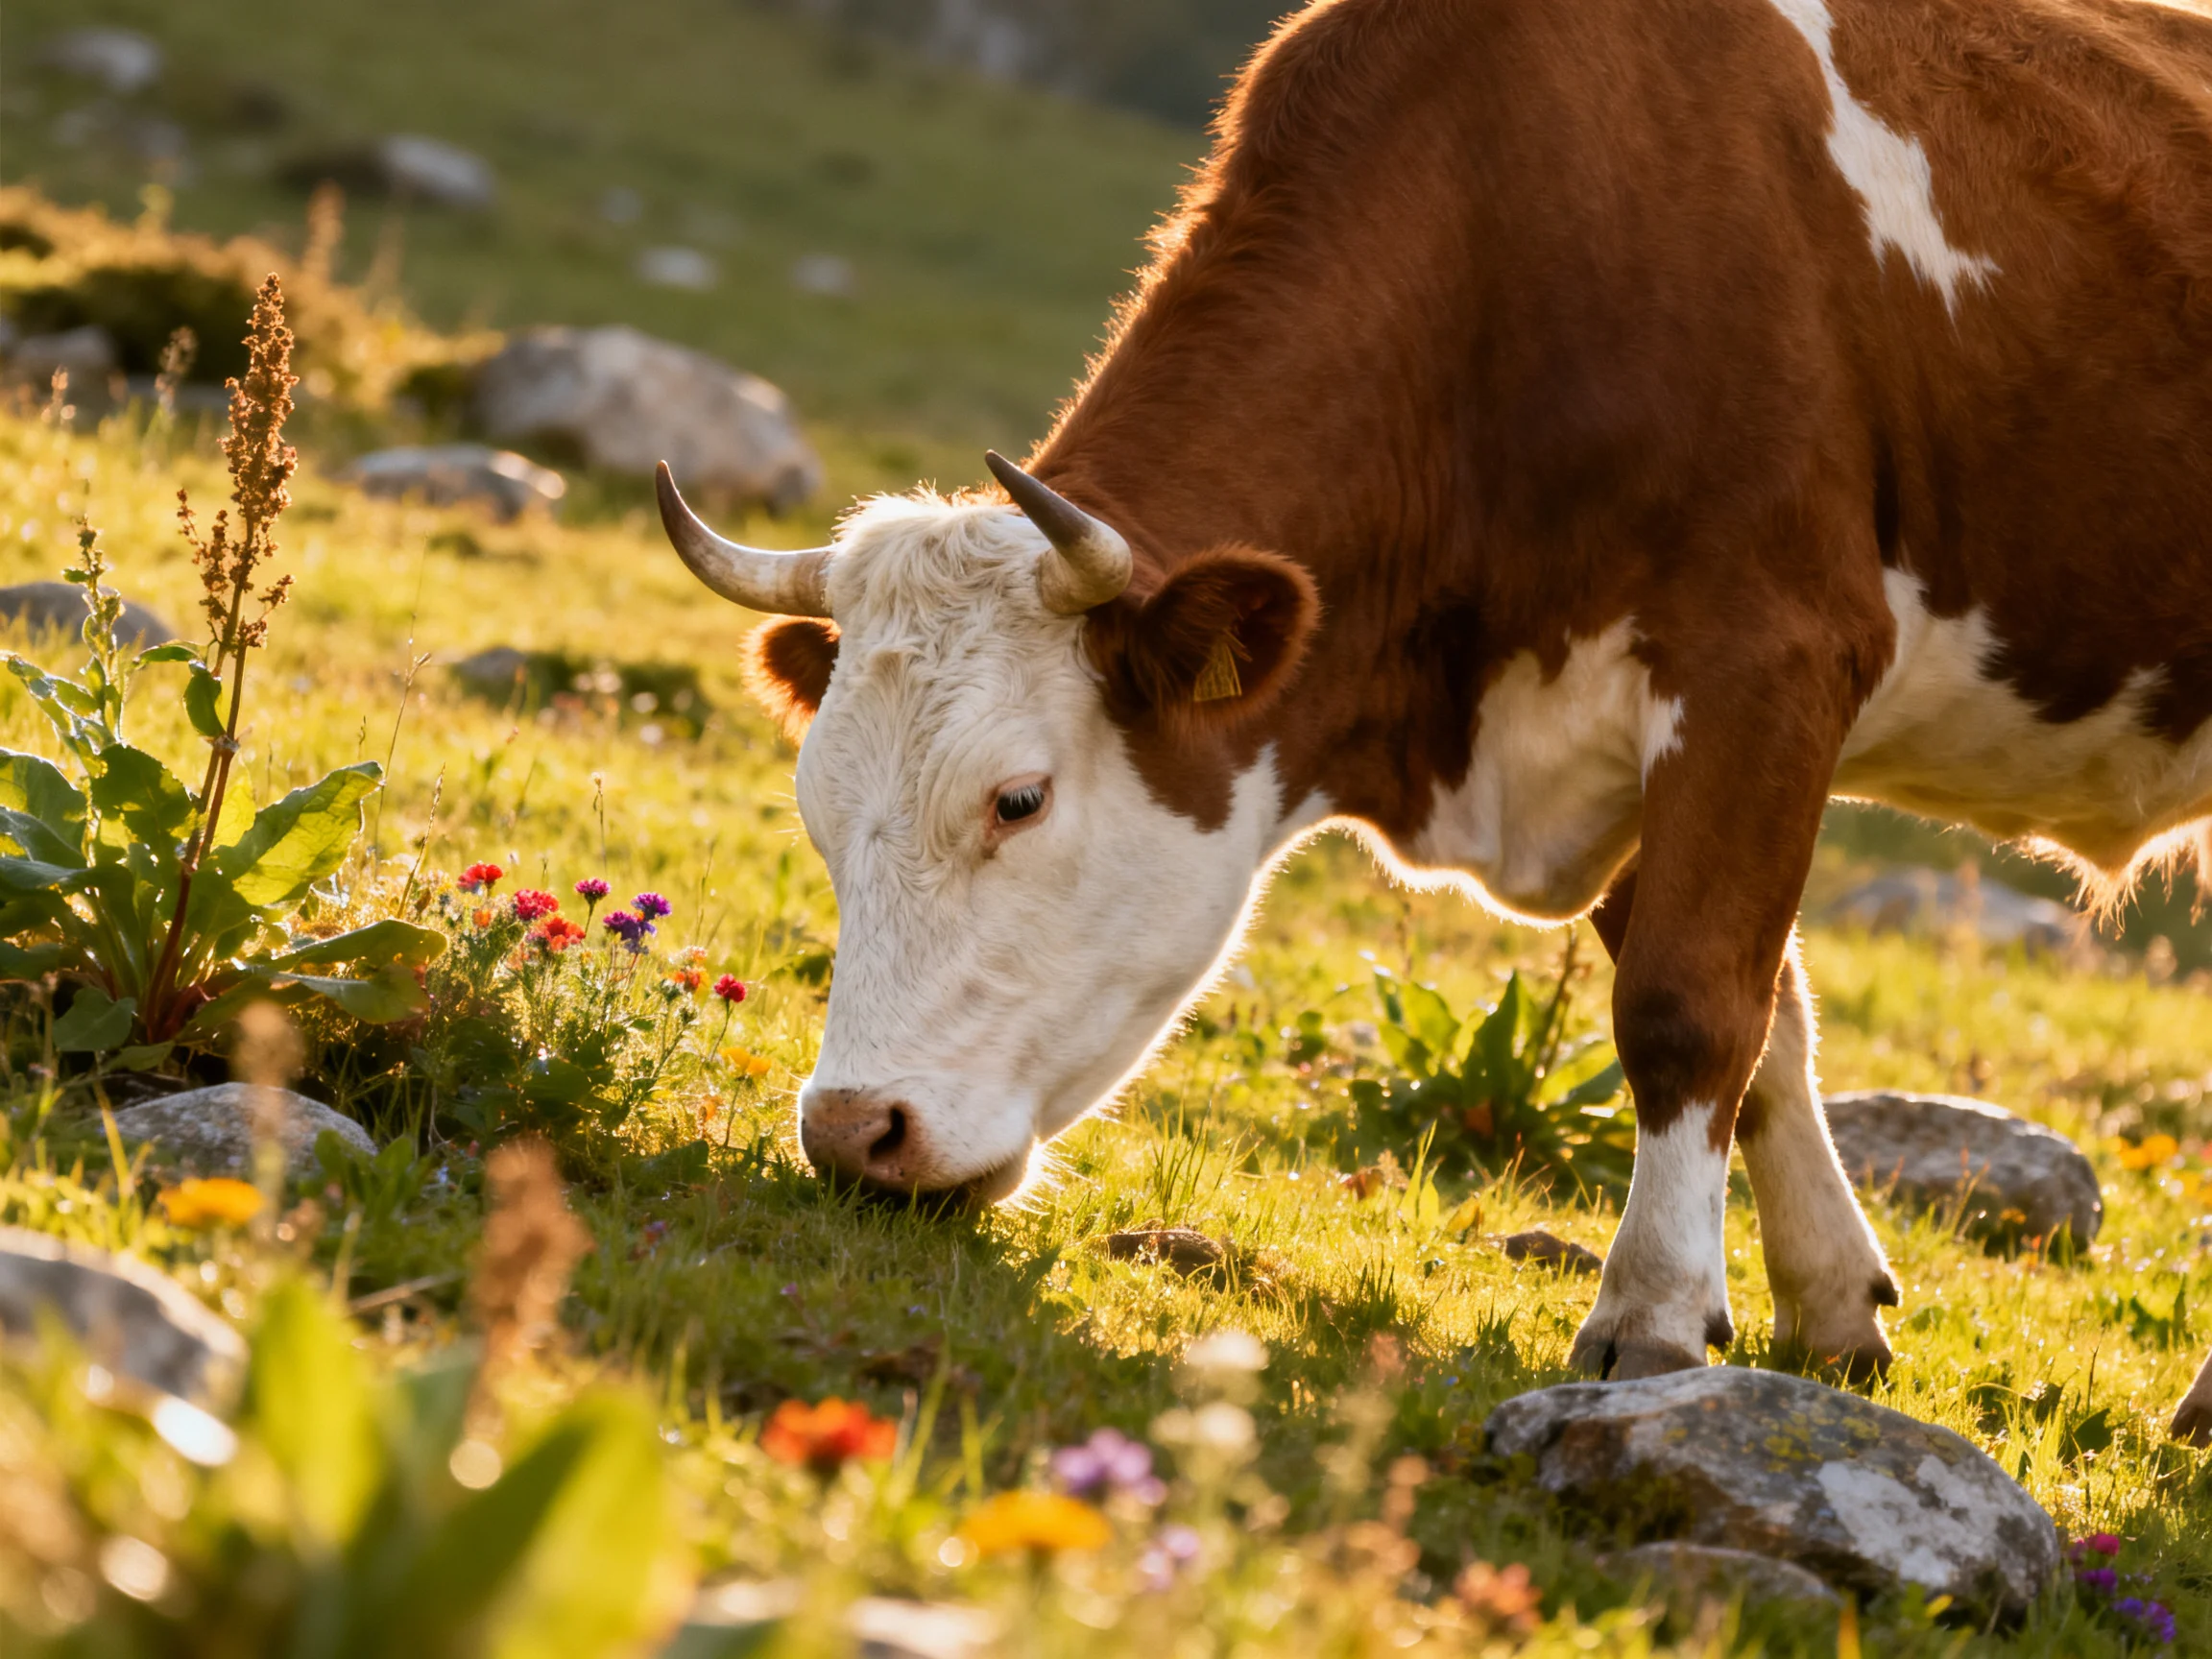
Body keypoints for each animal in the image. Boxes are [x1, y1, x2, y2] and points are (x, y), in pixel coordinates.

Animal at [657, 0, 2212, 1443]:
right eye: (818, 817)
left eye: (1017, 798)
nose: (854, 1133)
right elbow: (1768, 1022)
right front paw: (1829, 1309)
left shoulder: (1769, 658)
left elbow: (1688, 1004)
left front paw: (1651, 1317)